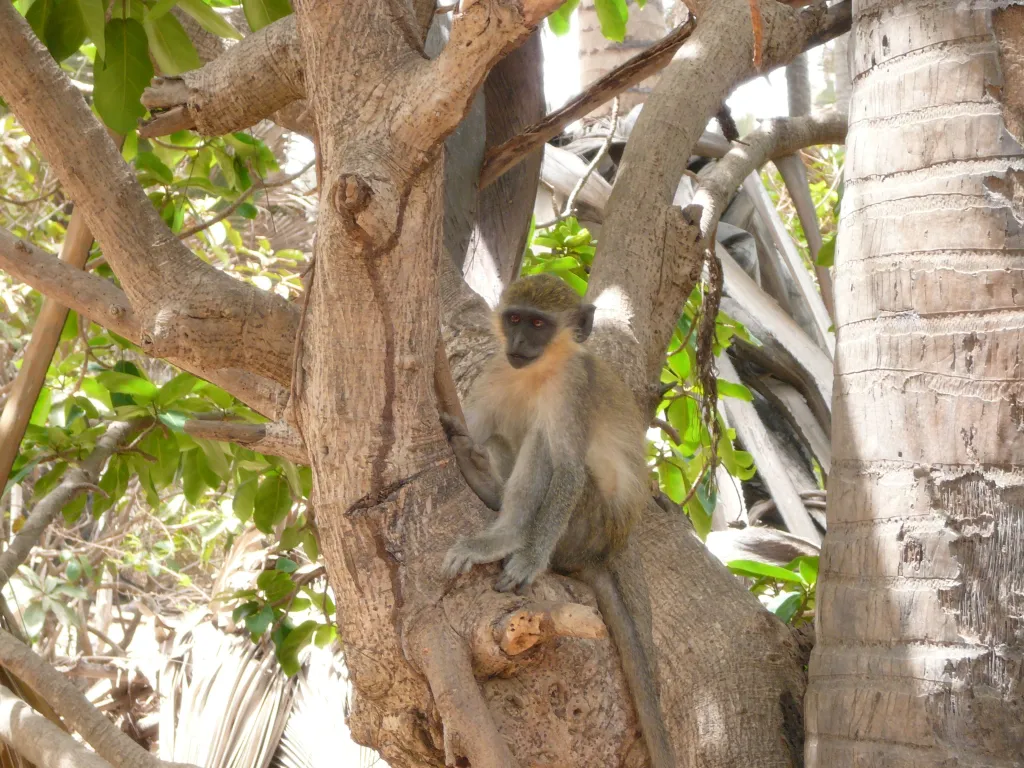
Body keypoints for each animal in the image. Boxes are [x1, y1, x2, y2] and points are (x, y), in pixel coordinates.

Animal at [442, 272, 675, 768]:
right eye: (514, 319)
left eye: (538, 324)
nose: (519, 342)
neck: (538, 371)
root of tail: (599, 554)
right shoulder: (497, 371)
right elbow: (475, 423)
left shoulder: (573, 389)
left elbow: (566, 467)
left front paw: (527, 559)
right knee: (501, 434)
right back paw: (485, 483)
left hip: (585, 526)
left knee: (544, 444)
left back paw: (507, 535)